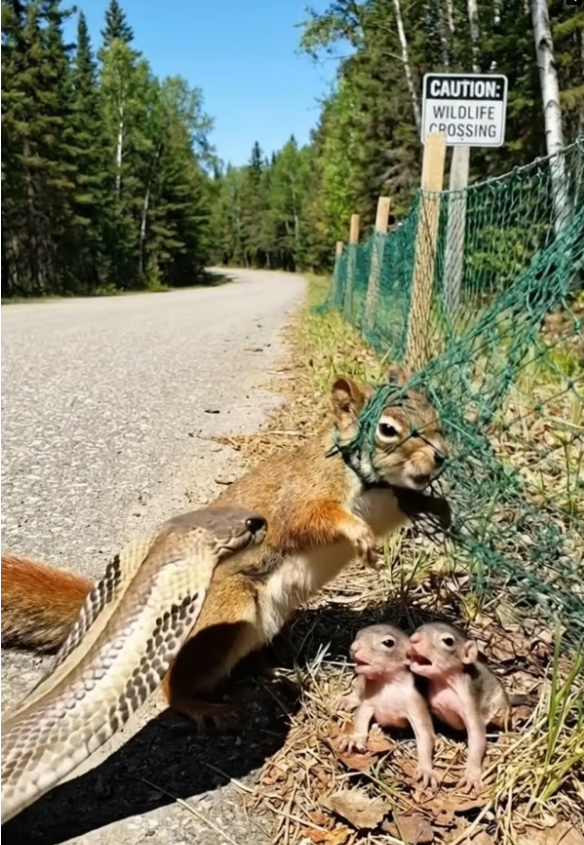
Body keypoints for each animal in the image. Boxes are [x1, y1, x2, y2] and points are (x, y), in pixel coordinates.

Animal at [2, 365, 450, 729]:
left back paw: (268, 668)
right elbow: (311, 519)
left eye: (434, 414)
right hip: (226, 614)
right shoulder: (306, 492)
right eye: (387, 429)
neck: (370, 482)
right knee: (172, 685)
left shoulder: (391, 501)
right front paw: (359, 535)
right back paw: (198, 705)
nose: (442, 457)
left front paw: (441, 511)